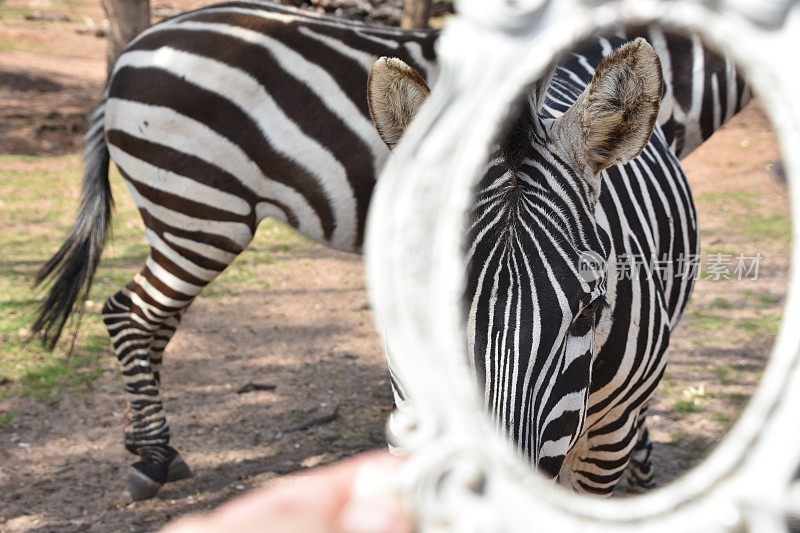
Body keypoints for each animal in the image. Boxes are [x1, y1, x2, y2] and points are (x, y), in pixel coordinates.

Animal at [28, 0, 748, 498]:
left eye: (591, 310)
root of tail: (133, 51)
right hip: (198, 207)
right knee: (132, 312)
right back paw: (151, 456)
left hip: (186, 213)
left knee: (148, 318)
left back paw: (146, 443)